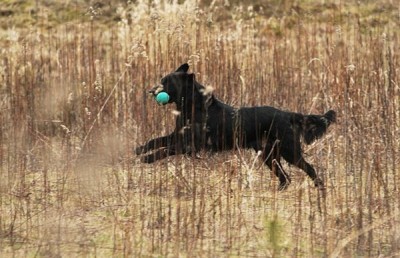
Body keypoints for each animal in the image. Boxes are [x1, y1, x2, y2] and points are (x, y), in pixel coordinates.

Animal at [136, 64, 336, 189]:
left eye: (167, 82)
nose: (150, 91)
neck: (193, 106)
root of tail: (288, 114)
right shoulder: (178, 135)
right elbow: (157, 140)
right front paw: (140, 149)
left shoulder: (191, 144)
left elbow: (166, 149)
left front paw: (148, 158)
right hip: (268, 154)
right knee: (285, 178)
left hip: (289, 151)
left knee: (309, 169)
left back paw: (320, 188)